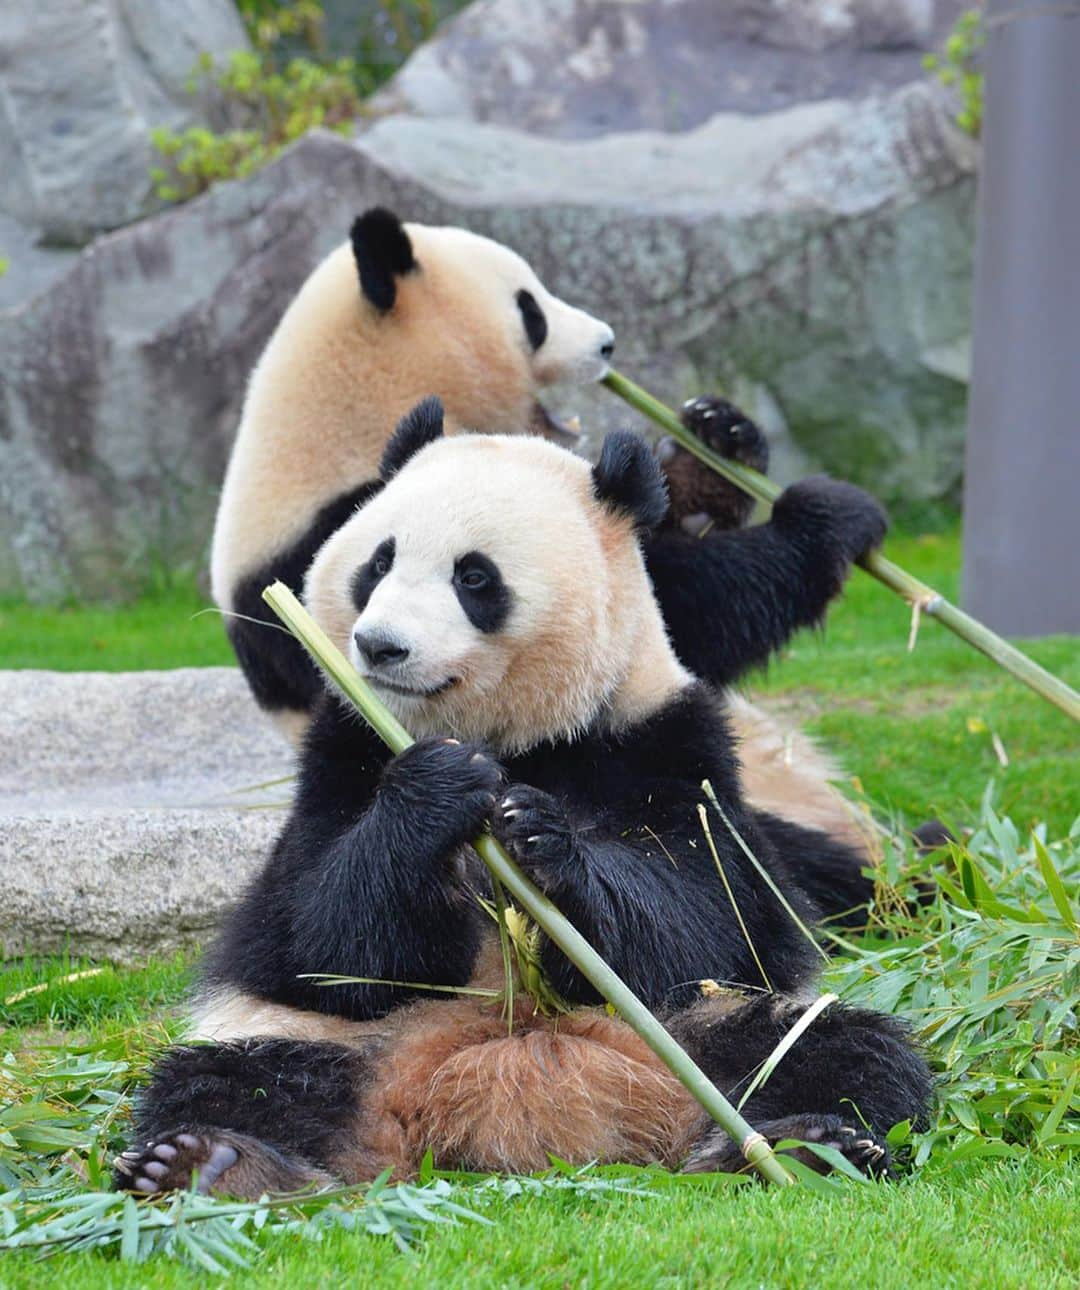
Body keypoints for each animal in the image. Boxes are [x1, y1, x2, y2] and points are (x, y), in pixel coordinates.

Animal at [116, 405, 929, 1197]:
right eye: (378, 561)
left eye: (474, 577)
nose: (379, 647)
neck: (512, 737)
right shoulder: (339, 752)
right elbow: (322, 936)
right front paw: (438, 789)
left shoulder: (665, 739)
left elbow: (710, 912)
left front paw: (541, 839)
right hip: (324, 1043)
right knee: (233, 1079)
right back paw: (213, 1162)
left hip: (705, 1029)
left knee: (836, 1050)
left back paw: (805, 1145)